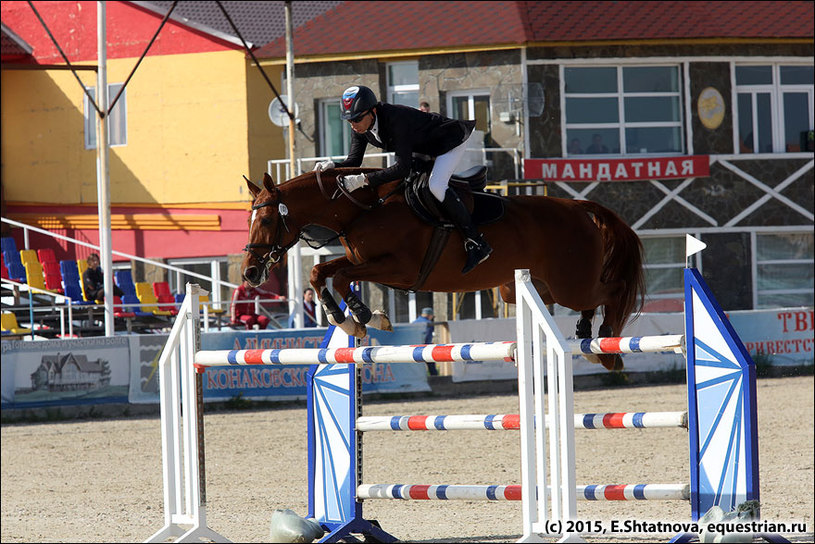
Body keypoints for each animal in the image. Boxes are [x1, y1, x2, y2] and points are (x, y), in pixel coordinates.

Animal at [242, 167, 644, 370]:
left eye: (266, 220)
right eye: (250, 219)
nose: (249, 273)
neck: (363, 209)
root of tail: (578, 207)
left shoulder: (398, 269)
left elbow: (339, 276)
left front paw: (363, 316)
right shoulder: (362, 261)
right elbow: (320, 273)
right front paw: (348, 318)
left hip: (568, 283)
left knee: (612, 290)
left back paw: (606, 343)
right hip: (528, 290)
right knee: (591, 300)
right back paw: (589, 340)